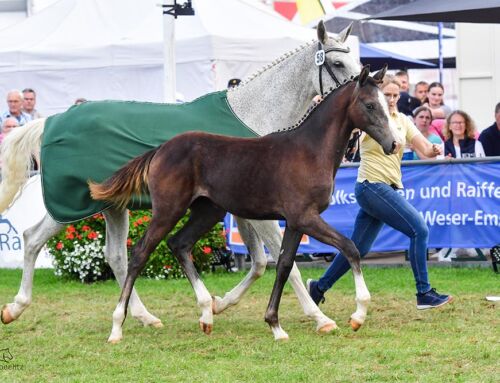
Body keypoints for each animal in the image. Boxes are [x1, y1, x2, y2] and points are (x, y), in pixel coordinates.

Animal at [91, 64, 402, 344]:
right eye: (370, 105)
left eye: (387, 102)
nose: (394, 144)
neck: (310, 150)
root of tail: (159, 150)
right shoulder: (306, 217)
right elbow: (350, 248)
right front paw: (358, 315)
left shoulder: (295, 222)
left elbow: (285, 264)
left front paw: (275, 325)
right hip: (168, 210)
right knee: (140, 253)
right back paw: (118, 327)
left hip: (207, 211)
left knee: (179, 244)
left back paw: (207, 313)